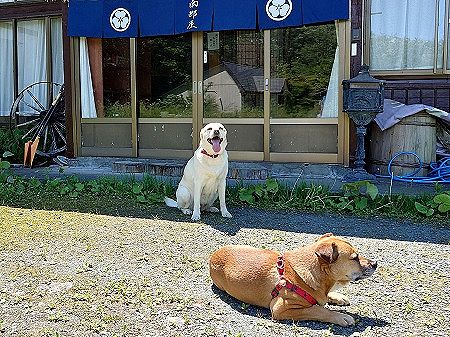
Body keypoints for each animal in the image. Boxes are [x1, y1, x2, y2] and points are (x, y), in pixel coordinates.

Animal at [209, 232, 378, 324]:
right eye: (355, 258)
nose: (375, 263)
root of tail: (214, 255)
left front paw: (336, 296)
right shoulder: (282, 309)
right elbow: (317, 309)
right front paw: (340, 316)